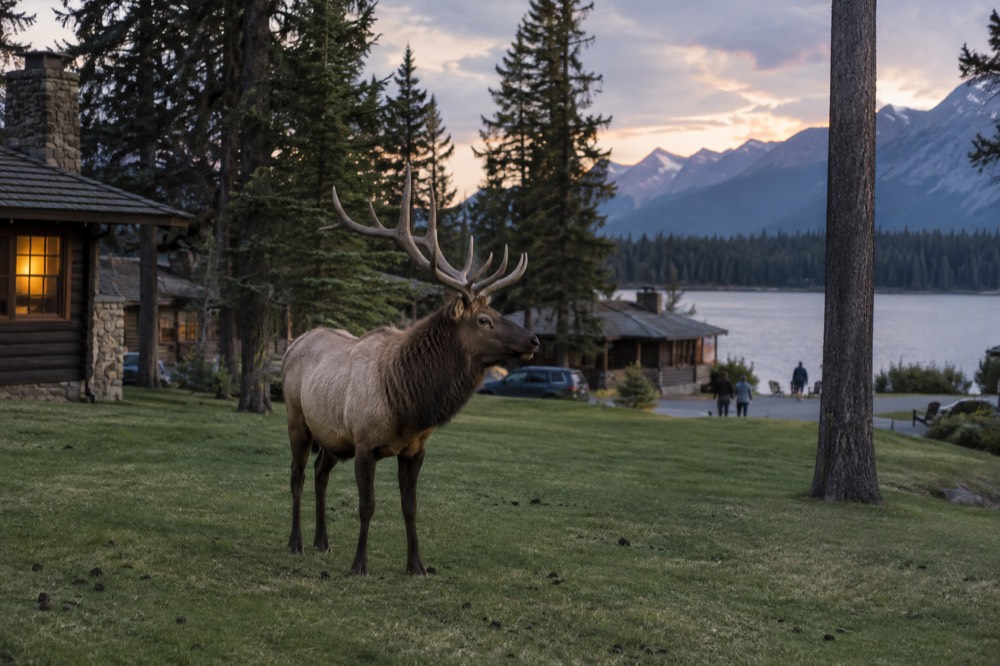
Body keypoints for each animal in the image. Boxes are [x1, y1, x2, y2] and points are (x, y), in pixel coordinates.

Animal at [282, 168, 539, 576]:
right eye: (484, 320)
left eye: (497, 312)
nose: (534, 339)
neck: (409, 405)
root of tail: (293, 344)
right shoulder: (364, 443)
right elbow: (367, 506)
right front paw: (360, 564)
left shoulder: (415, 450)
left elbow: (410, 507)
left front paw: (417, 565)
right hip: (297, 420)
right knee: (298, 475)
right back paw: (296, 542)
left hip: (333, 436)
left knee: (321, 473)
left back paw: (323, 541)